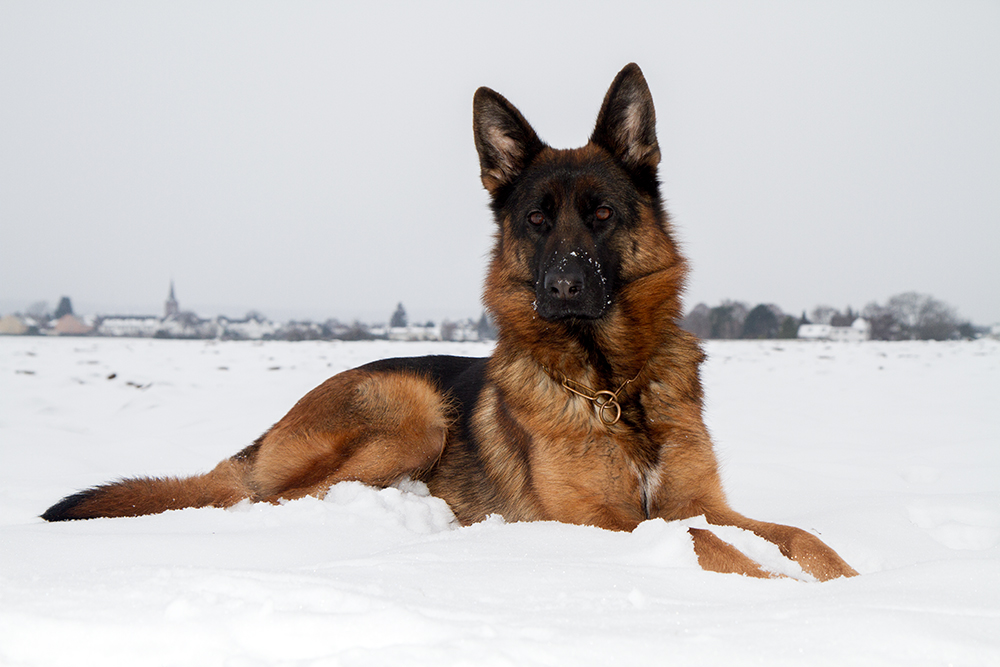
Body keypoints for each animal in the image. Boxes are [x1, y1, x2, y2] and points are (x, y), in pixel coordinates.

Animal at [47, 65, 856, 580]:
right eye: (536, 221)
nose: (562, 285)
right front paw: (768, 585)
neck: (613, 387)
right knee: (272, 499)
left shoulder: (707, 501)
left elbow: (793, 532)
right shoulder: (598, 521)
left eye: (601, 215)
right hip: (412, 412)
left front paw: (848, 581)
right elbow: (697, 540)